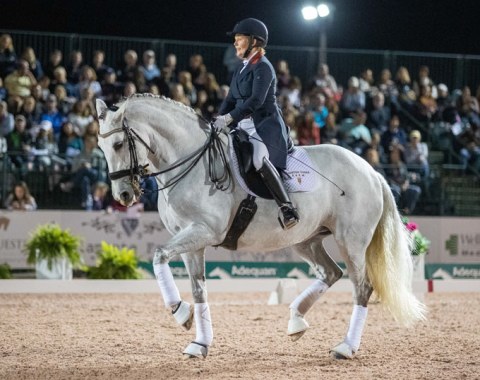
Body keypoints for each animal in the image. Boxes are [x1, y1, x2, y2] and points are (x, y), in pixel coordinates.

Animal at [95, 94, 426, 360]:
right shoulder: (191, 240)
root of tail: (371, 171)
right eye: (100, 146)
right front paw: (199, 342)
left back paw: (345, 347)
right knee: (331, 273)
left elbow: (159, 255)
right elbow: (198, 288)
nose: (122, 196)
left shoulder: (204, 231)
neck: (189, 163)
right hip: (306, 240)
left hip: (351, 241)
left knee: (361, 287)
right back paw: (296, 322)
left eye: (119, 144)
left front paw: (180, 312)